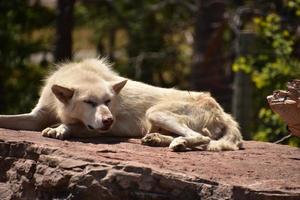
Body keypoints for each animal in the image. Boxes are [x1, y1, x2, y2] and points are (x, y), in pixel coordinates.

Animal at [0, 58, 243, 151]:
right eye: (89, 102)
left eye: (108, 101)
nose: (108, 120)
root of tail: (223, 112)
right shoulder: (35, 116)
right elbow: (6, 118)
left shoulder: (105, 129)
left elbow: (71, 125)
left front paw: (58, 129)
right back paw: (159, 140)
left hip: (155, 112)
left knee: (202, 138)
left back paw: (178, 143)